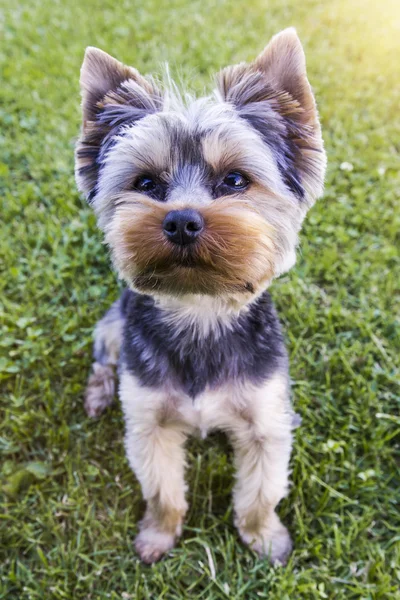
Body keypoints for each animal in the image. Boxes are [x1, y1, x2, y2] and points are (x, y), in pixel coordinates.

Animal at [74, 27, 324, 564]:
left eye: (234, 180)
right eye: (146, 183)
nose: (181, 220)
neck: (200, 311)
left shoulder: (266, 419)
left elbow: (261, 491)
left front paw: (265, 539)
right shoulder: (150, 422)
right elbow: (162, 489)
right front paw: (157, 535)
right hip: (114, 324)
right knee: (104, 357)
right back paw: (99, 393)